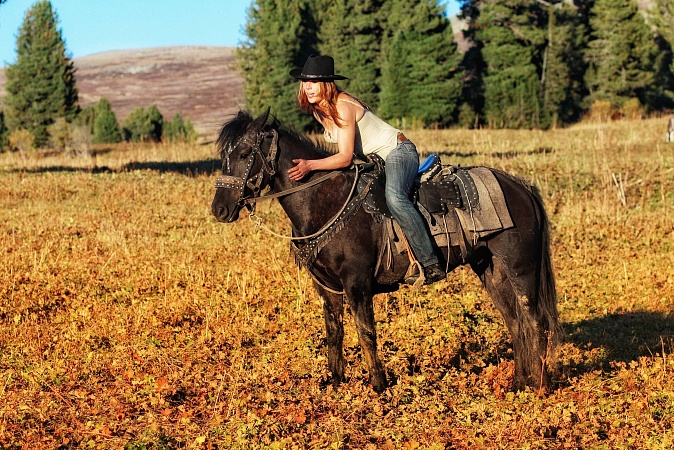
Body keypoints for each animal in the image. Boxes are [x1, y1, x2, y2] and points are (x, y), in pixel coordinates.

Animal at [210, 109, 556, 394]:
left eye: (244, 153)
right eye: (224, 155)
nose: (220, 210)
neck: (326, 202)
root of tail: (521, 186)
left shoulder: (357, 284)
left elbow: (366, 333)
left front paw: (378, 386)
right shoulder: (327, 288)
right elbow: (334, 333)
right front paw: (336, 384)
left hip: (521, 266)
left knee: (535, 320)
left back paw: (539, 387)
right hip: (490, 267)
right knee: (515, 321)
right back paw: (518, 384)